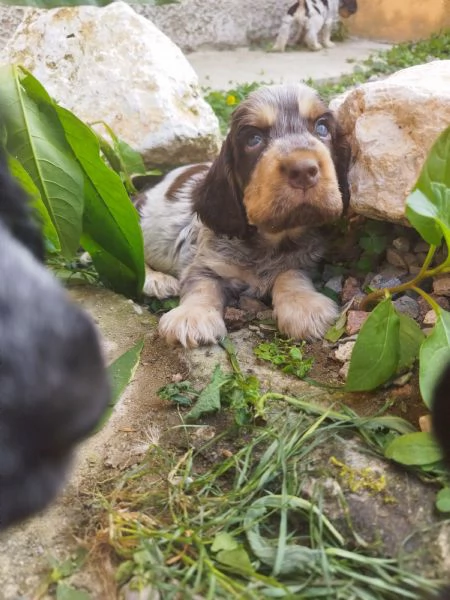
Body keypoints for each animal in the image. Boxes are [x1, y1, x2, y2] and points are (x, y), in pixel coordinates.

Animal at [138, 82, 352, 350]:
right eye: (253, 139)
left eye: (322, 127)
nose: (304, 170)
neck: (271, 238)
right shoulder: (205, 262)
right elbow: (202, 286)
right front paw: (192, 316)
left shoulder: (302, 259)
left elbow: (290, 274)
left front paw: (304, 306)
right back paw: (157, 280)